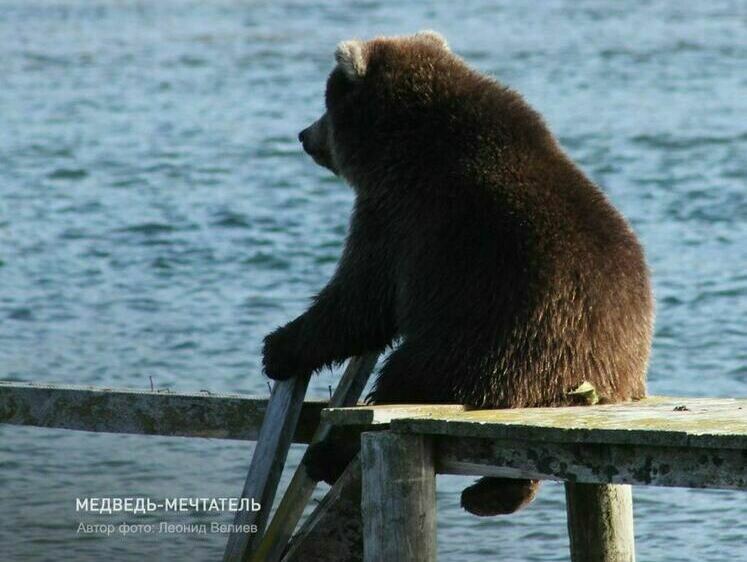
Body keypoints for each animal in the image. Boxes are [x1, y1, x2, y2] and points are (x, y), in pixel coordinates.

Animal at [264, 28, 656, 516]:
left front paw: (279, 346)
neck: (400, 142)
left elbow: (360, 296)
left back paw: (329, 455)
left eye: (326, 103)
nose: (304, 134)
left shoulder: (403, 218)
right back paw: (493, 492)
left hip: (491, 343)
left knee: (401, 384)